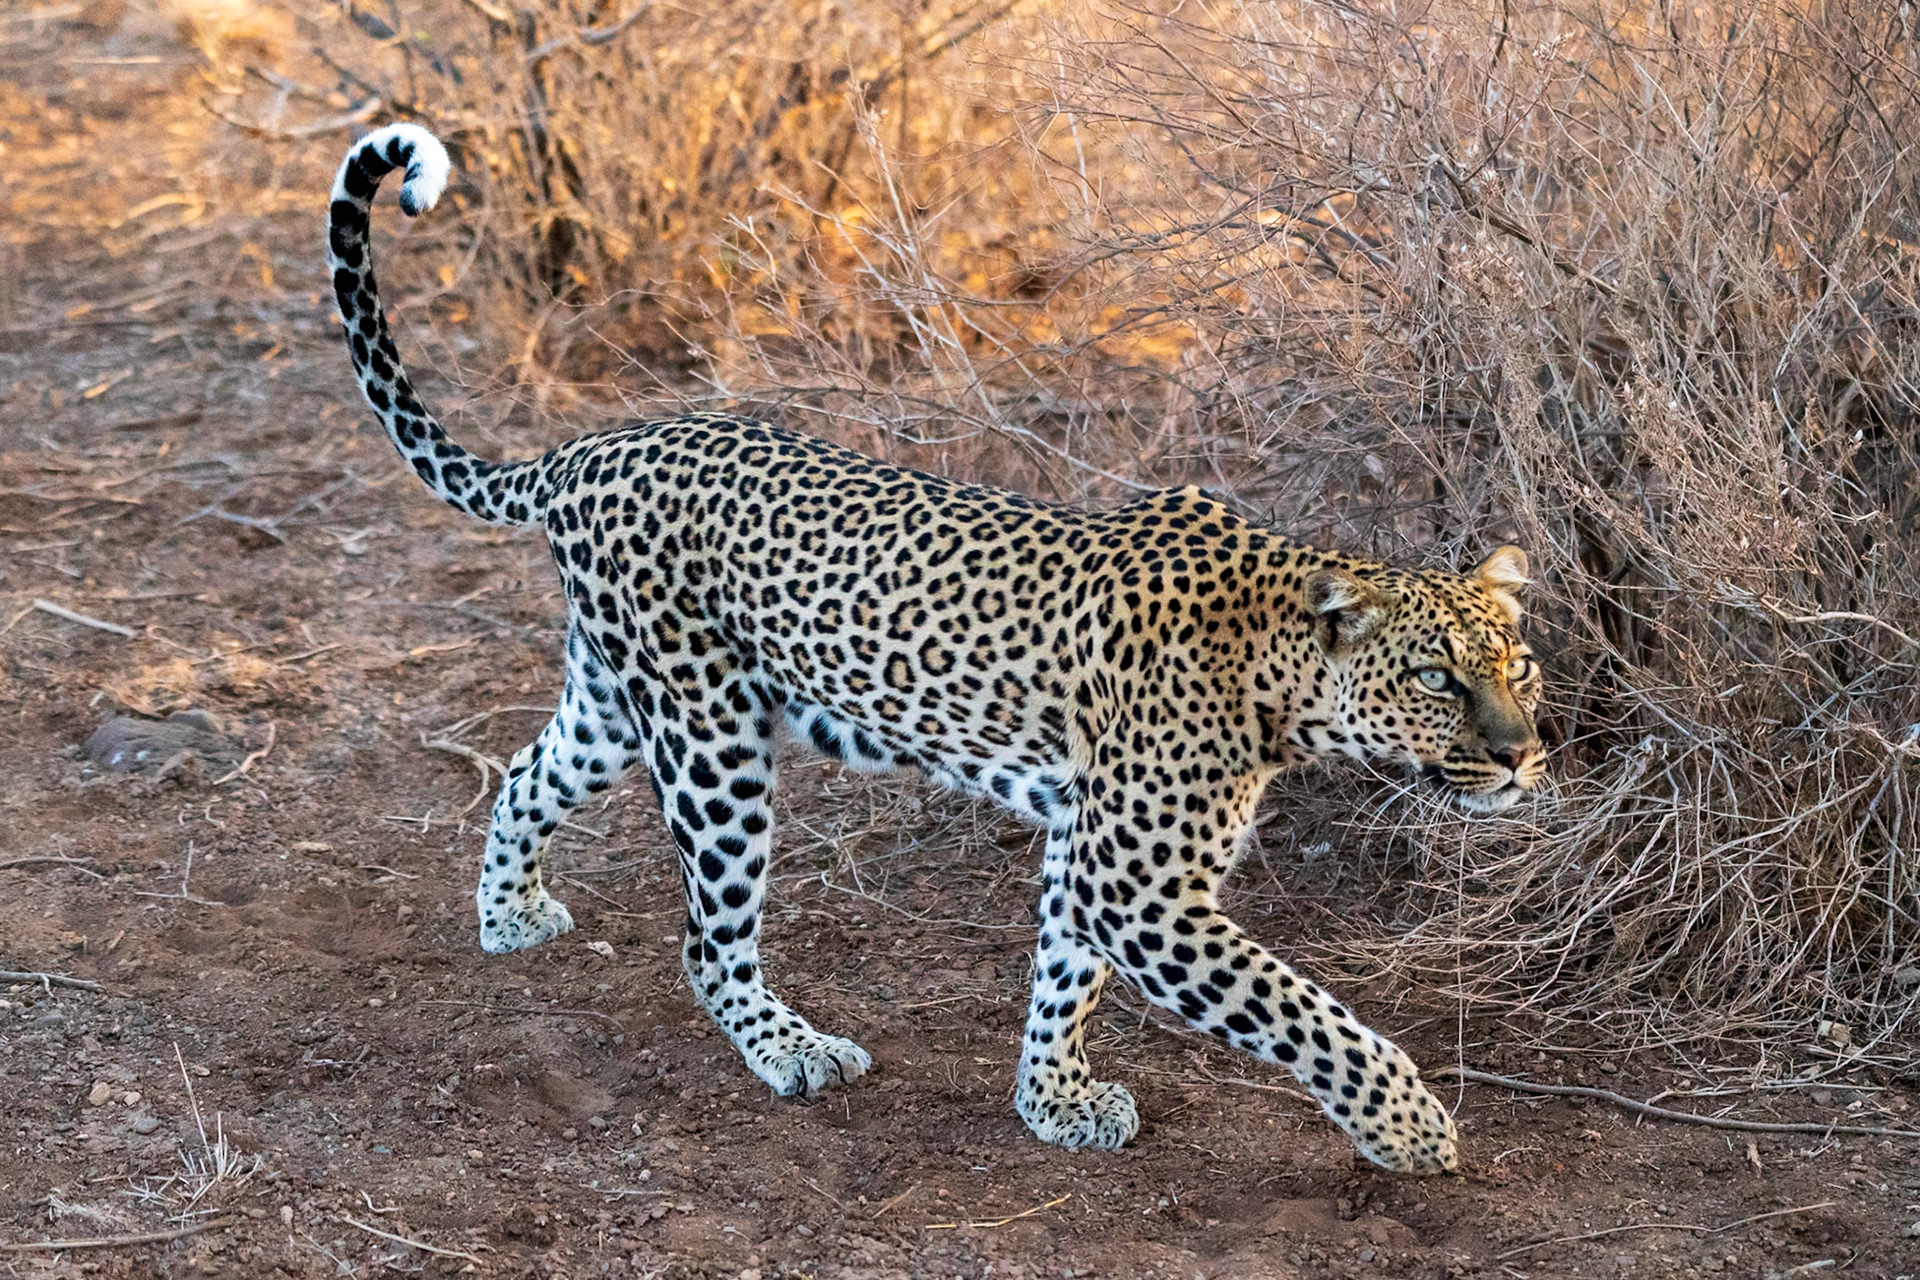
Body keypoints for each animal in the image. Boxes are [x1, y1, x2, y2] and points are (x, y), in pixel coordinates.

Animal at [326, 123, 1547, 1175]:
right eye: (1436, 677)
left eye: (1519, 669)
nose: (1525, 755)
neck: (1278, 668)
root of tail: (588, 447)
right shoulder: (1141, 887)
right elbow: (1306, 1011)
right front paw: (1410, 1127)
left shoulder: (1087, 853)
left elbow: (1064, 976)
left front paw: (1053, 1099)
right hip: (711, 742)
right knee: (707, 940)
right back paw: (792, 1046)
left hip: (625, 701)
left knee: (525, 773)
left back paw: (509, 912)